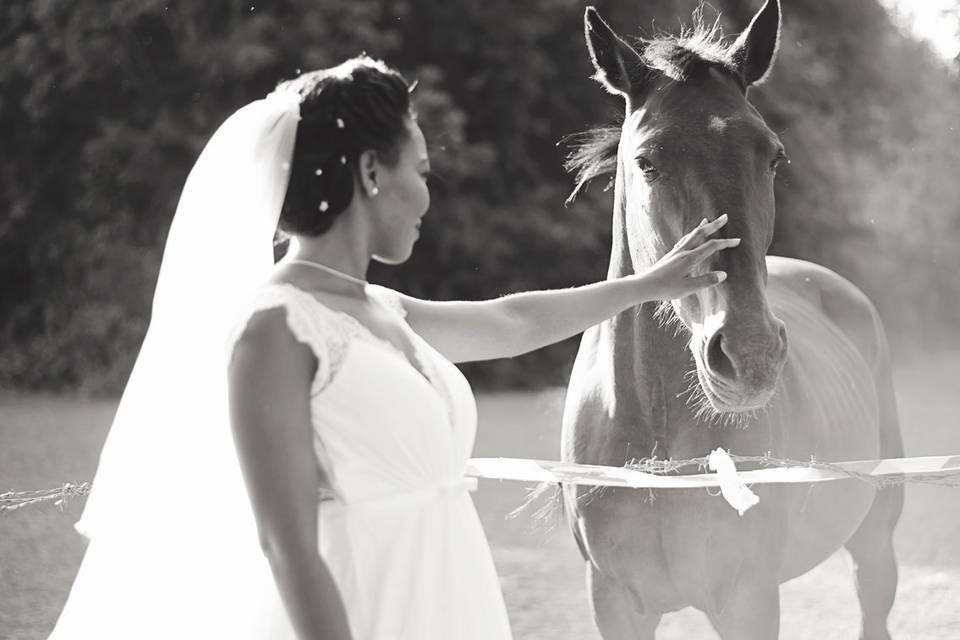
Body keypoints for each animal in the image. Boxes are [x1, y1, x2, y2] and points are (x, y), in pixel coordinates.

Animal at [560, 2, 904, 636]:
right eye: (646, 161)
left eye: (773, 155)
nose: (750, 353)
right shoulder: (614, 603)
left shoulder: (747, 599)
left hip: (875, 541)